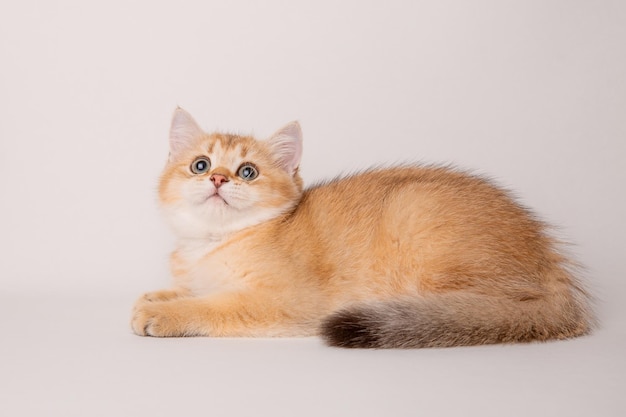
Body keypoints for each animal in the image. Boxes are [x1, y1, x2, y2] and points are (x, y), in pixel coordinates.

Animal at [130, 108, 588, 348]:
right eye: (200, 164)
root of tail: (552, 266)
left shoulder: (287, 302)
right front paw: (158, 295)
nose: (218, 178)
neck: (212, 242)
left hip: (418, 220)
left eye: (247, 171)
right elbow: (194, 290)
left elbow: (214, 305)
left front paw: (162, 312)